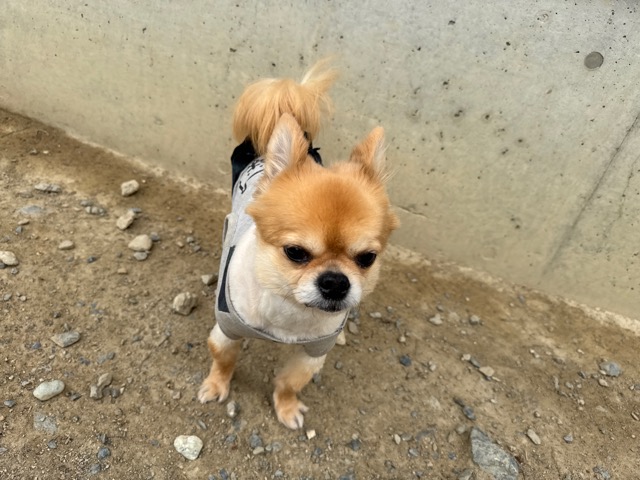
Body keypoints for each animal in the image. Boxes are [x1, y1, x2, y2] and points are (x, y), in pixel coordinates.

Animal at [198, 60, 399, 429]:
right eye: (295, 253)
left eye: (367, 258)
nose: (335, 282)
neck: (291, 310)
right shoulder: (226, 331)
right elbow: (224, 360)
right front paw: (216, 385)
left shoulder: (311, 353)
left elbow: (290, 382)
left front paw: (287, 407)